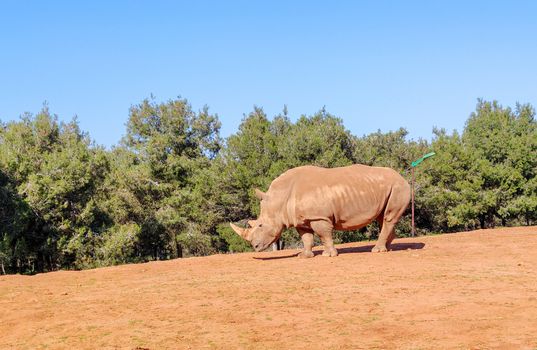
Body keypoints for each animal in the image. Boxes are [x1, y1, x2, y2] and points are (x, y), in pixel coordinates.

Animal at [229, 164, 410, 258]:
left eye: (260, 225)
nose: (255, 246)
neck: (279, 199)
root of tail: (402, 176)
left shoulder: (318, 217)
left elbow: (324, 234)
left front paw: (328, 255)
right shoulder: (302, 219)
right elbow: (306, 237)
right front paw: (304, 256)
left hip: (398, 187)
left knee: (387, 218)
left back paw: (377, 250)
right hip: (387, 188)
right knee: (383, 217)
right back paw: (387, 248)